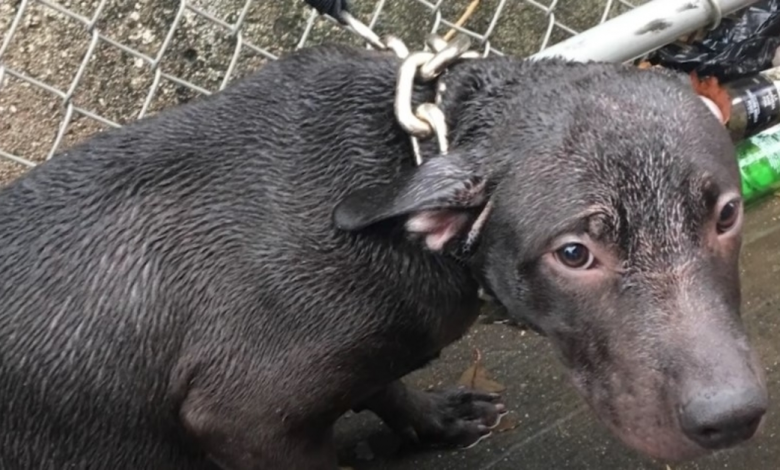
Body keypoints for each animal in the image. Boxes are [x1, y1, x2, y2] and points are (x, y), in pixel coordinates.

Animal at [0, 43, 768, 466]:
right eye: (574, 253)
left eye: (727, 215)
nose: (733, 418)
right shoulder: (245, 419)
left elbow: (382, 382)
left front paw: (432, 420)